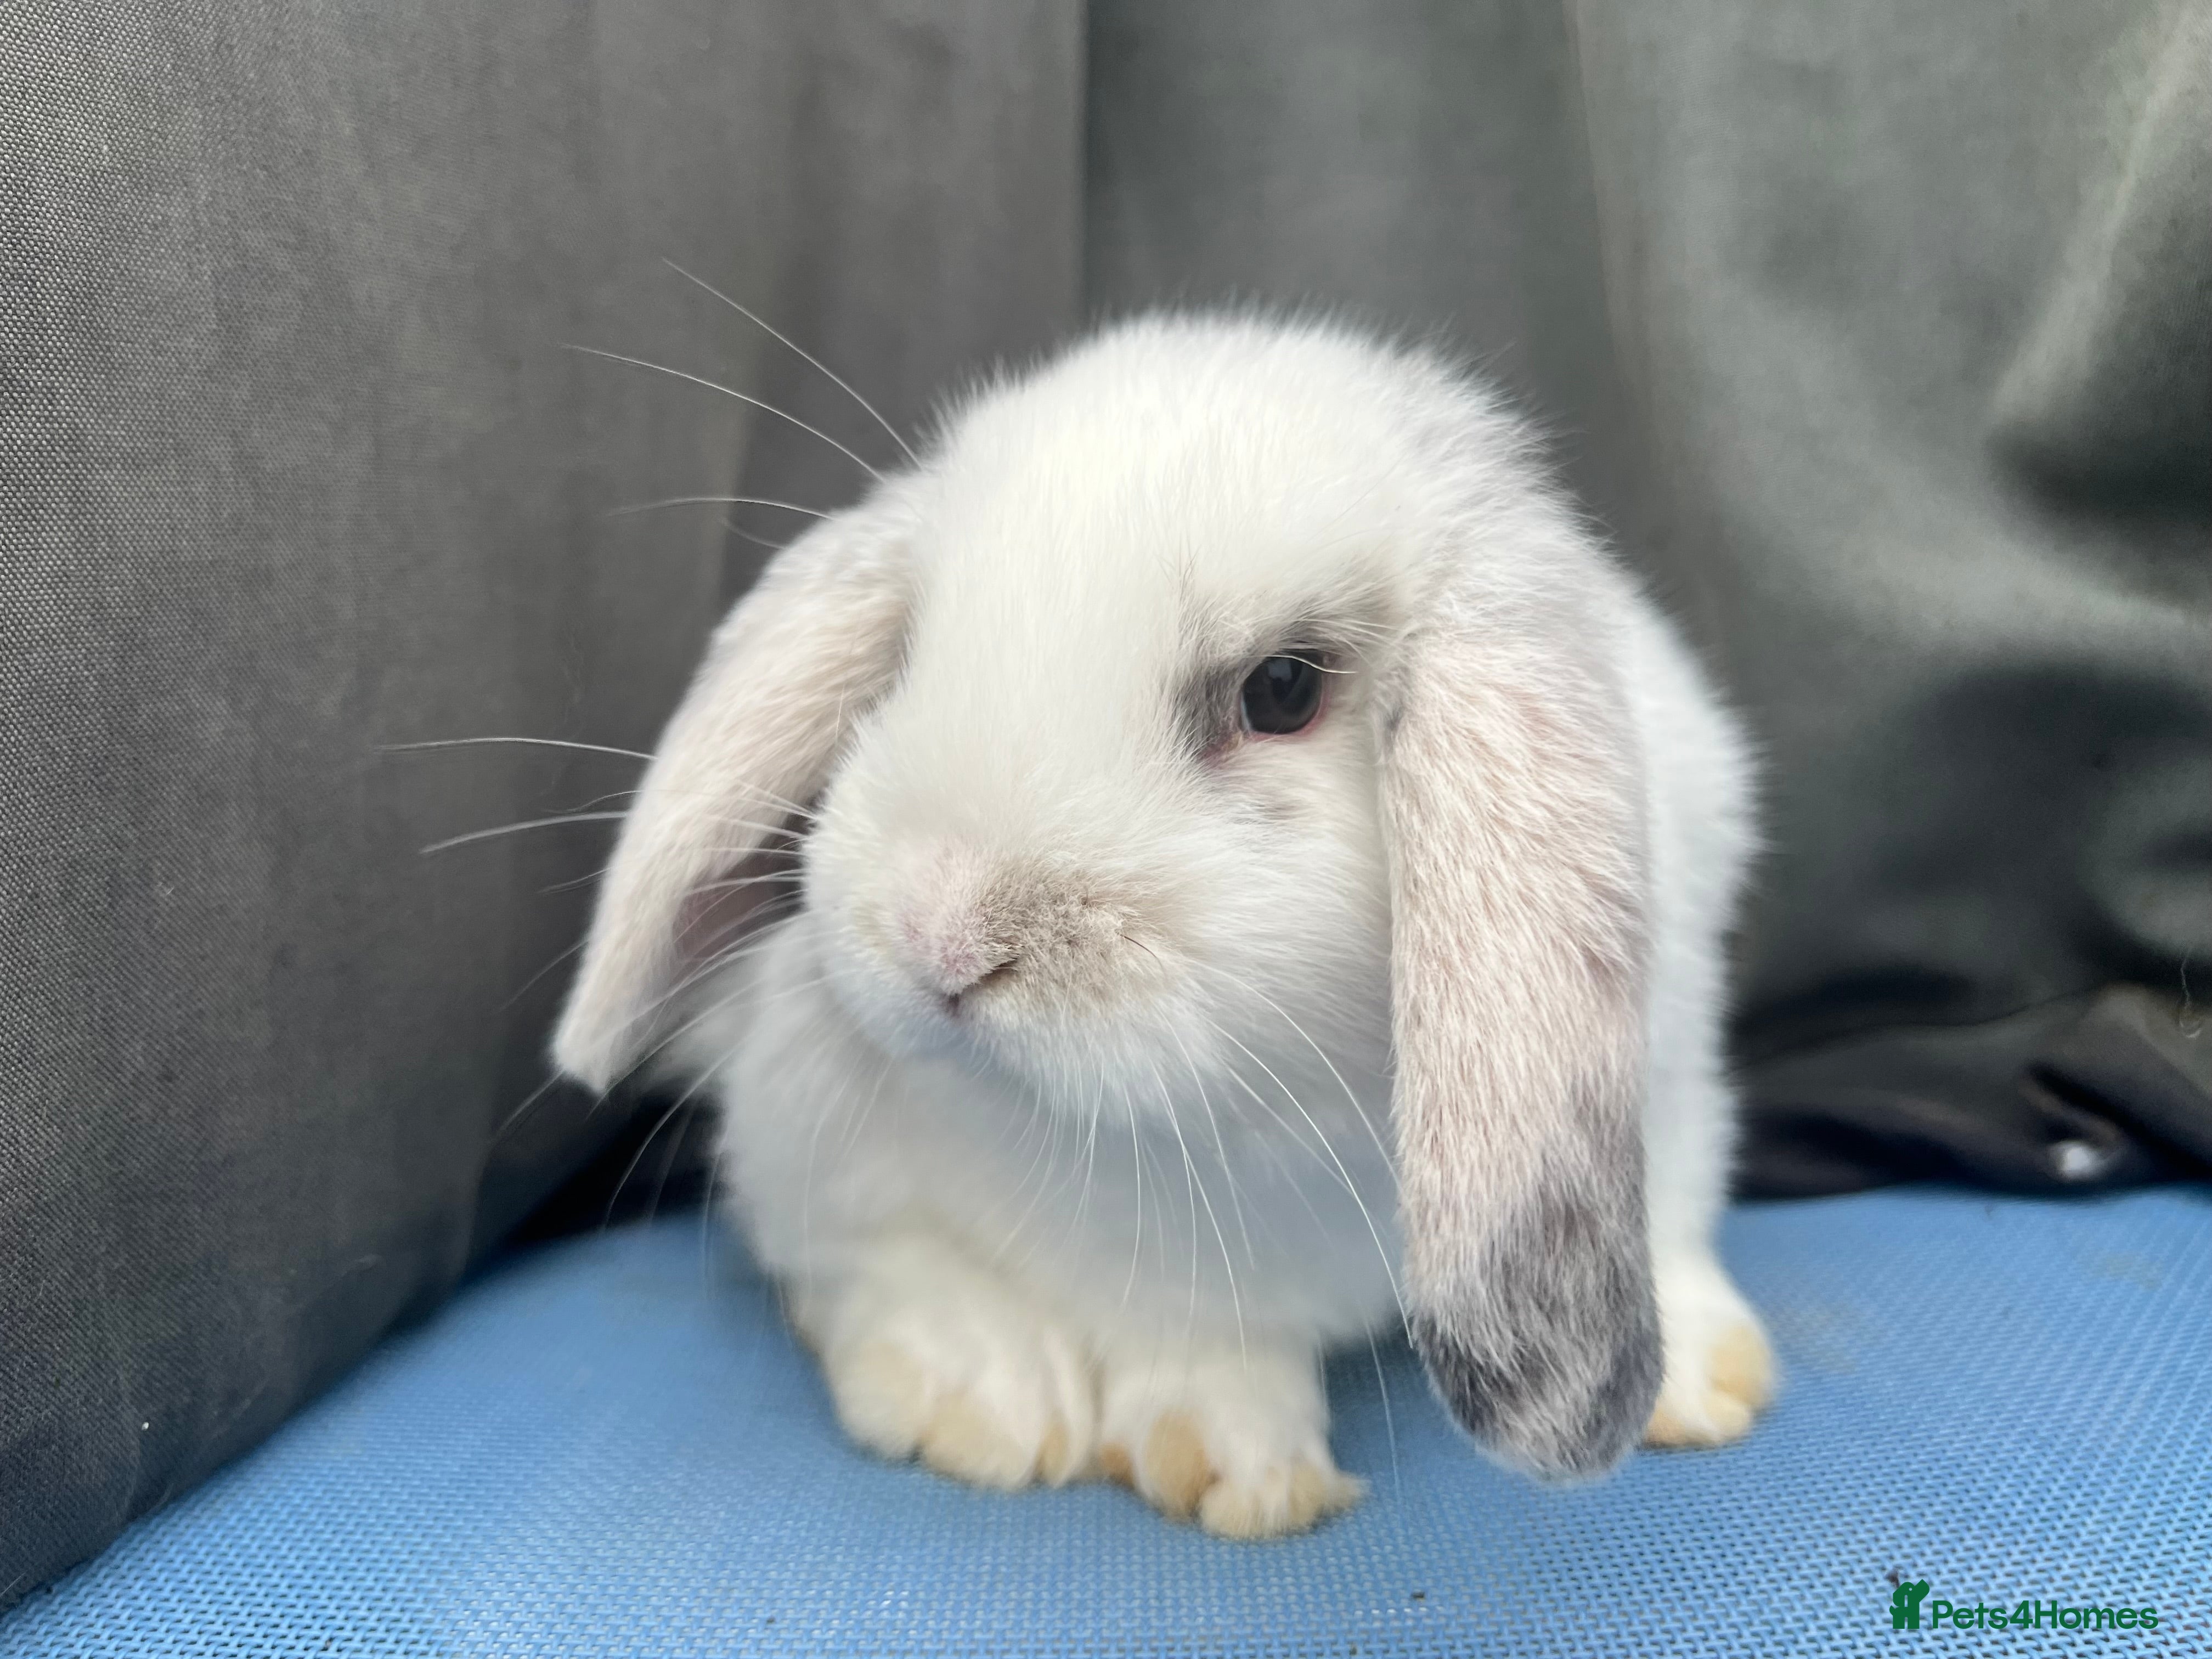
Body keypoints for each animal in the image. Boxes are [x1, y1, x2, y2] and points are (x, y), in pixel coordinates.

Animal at [552, 313, 1772, 1539]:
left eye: (1281, 689)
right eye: (906, 652)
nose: (941, 939)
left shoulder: (1664, 1092)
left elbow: (1670, 1218)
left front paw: (1706, 1387)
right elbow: (1135, 1326)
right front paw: (1215, 1463)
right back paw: (989, 1404)